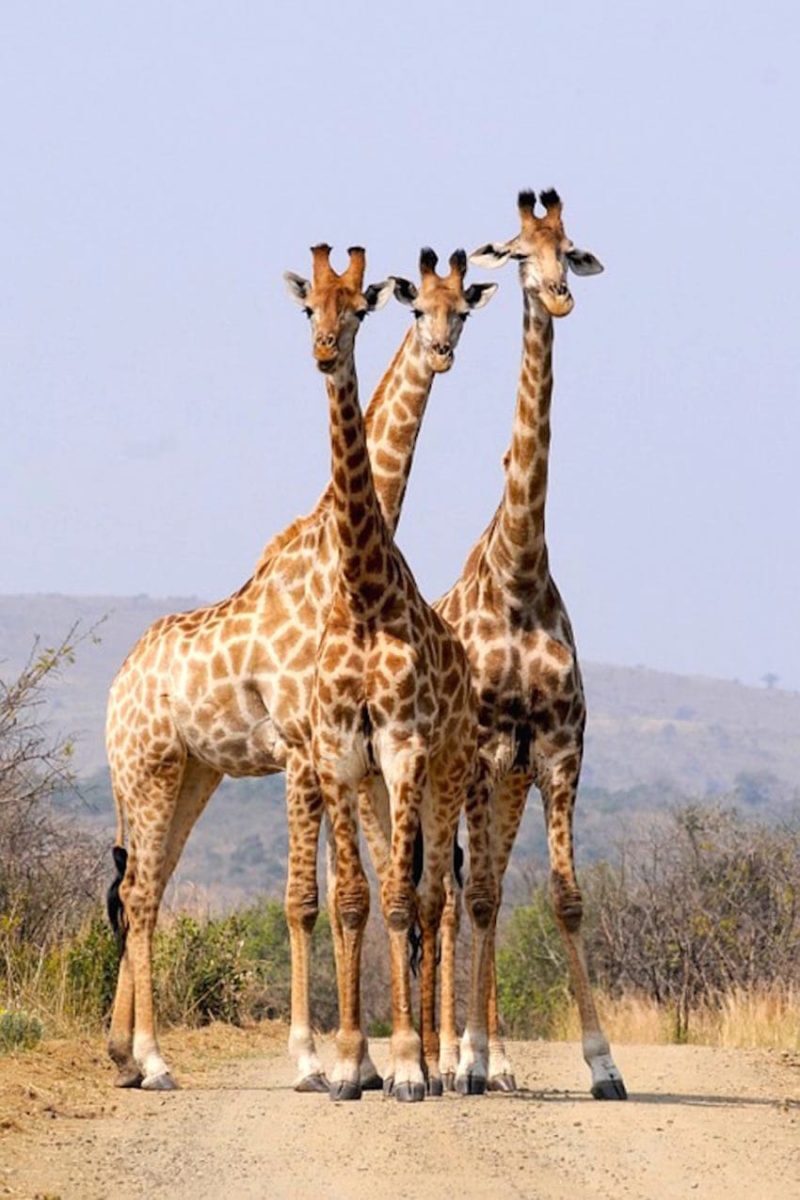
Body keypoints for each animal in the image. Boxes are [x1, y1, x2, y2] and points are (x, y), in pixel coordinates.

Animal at [104, 246, 496, 1092]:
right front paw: (318, 1060)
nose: (441, 353)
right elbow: (304, 900)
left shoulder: (348, 754)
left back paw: (124, 1052)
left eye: (462, 312)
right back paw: (152, 1058)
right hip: (147, 769)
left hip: (192, 773)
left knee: (146, 884)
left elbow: (366, 890)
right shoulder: (301, 747)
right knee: (141, 892)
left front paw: (371, 1063)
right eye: (418, 309)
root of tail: (117, 685)